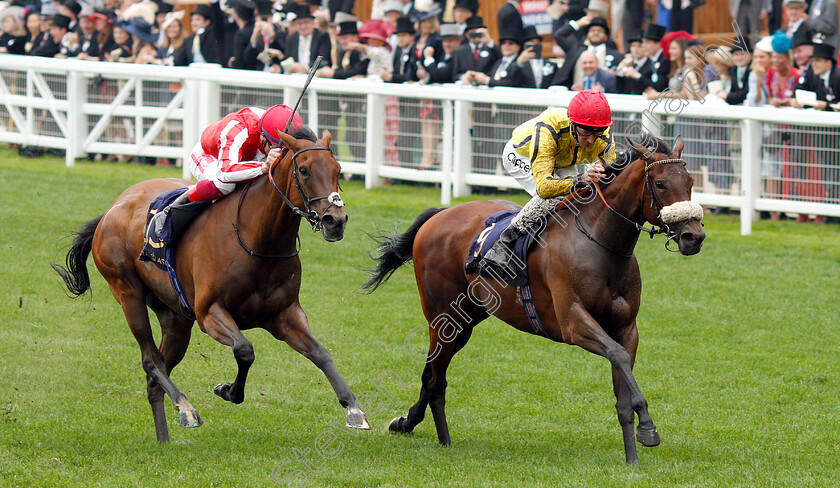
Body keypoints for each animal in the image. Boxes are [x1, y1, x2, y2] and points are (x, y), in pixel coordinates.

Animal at [52, 125, 368, 442]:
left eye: (338, 170)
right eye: (303, 170)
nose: (335, 220)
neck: (257, 240)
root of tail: (111, 209)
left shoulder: (285, 314)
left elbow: (321, 353)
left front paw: (353, 409)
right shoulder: (209, 312)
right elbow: (245, 350)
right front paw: (227, 390)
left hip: (176, 319)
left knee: (156, 374)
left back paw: (164, 439)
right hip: (127, 291)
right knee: (150, 360)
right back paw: (186, 408)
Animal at [364, 134, 704, 466]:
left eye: (689, 181)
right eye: (660, 183)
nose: (694, 237)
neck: (600, 243)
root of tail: (440, 214)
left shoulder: (627, 327)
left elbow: (622, 382)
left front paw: (632, 456)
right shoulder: (572, 323)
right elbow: (617, 356)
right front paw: (648, 427)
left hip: (468, 319)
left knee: (431, 375)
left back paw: (407, 423)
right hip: (443, 317)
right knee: (435, 378)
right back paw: (441, 439)